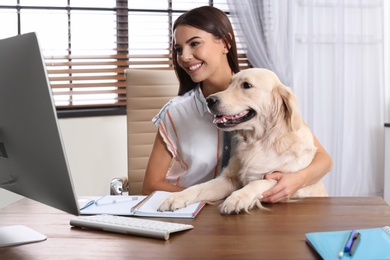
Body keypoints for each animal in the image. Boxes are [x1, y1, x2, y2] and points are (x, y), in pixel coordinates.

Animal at [157, 68, 328, 214]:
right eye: (229, 84)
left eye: (246, 85)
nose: (209, 100)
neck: (260, 141)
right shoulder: (228, 179)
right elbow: (199, 187)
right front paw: (175, 197)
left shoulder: (285, 180)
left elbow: (259, 183)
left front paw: (237, 198)